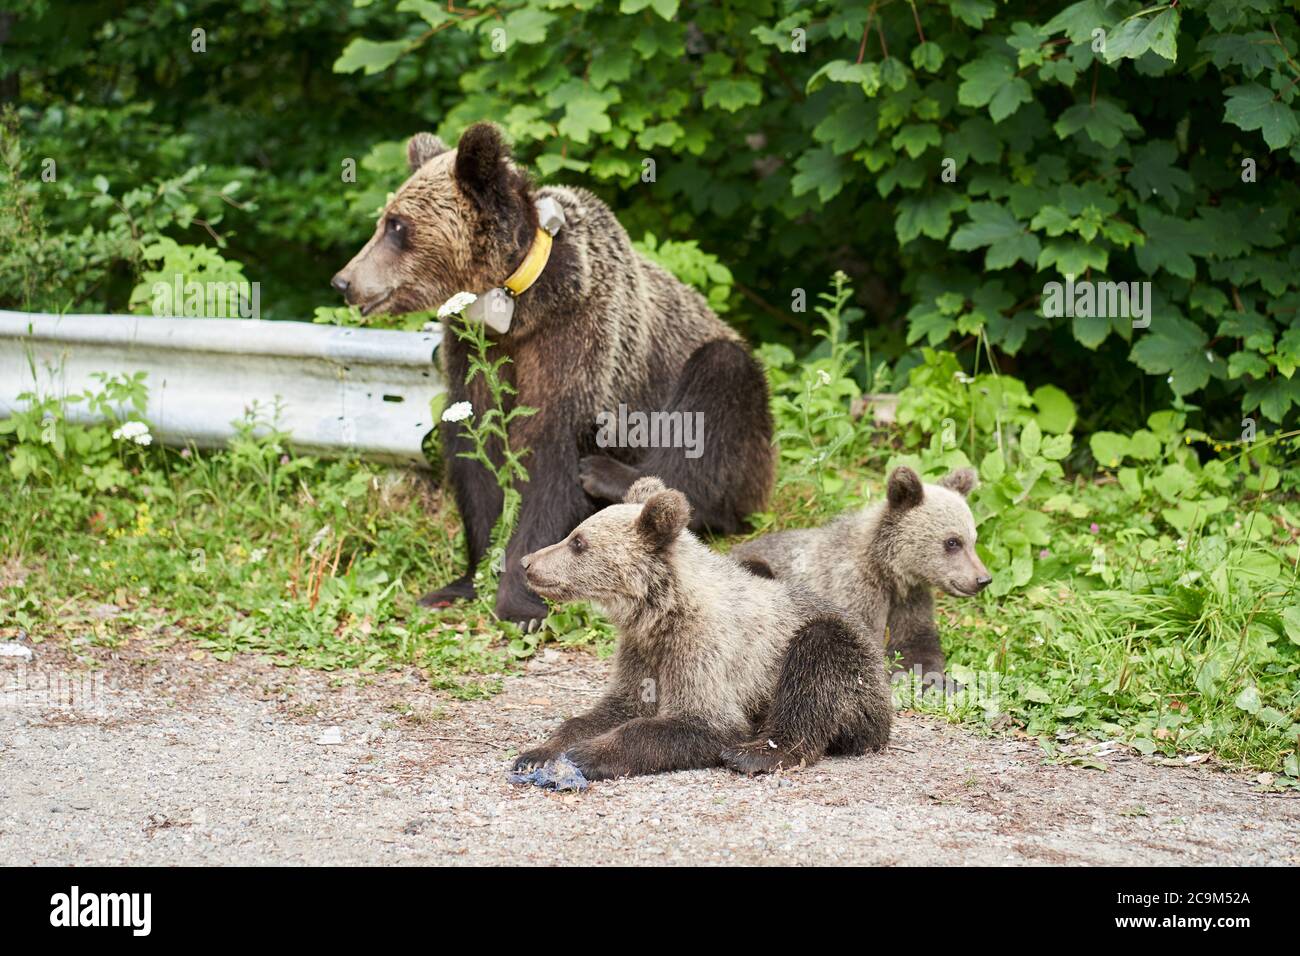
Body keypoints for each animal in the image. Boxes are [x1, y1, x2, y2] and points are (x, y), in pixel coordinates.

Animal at [331, 123, 774, 626]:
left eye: (396, 225)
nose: (345, 281)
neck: (518, 305)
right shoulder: (474, 346)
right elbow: (476, 449)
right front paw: (463, 581)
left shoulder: (576, 334)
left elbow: (550, 454)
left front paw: (522, 601)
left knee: (719, 389)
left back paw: (612, 478)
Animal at [511, 476, 893, 780]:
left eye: (578, 541)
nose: (527, 562)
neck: (662, 612)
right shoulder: (641, 650)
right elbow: (615, 707)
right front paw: (537, 753)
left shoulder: (704, 648)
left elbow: (705, 724)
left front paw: (587, 754)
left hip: (845, 663)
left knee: (815, 666)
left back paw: (757, 754)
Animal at [731, 466, 990, 685]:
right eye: (952, 542)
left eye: (974, 539)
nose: (983, 579)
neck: (888, 572)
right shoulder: (854, 590)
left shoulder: (910, 599)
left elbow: (918, 645)